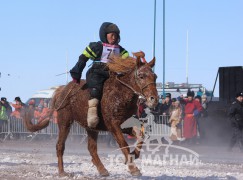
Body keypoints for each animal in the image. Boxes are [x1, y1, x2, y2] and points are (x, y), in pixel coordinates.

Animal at [23, 51, 159, 176]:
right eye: (141, 76)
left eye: (155, 76)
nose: (153, 99)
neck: (120, 94)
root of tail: (63, 90)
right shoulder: (113, 125)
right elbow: (123, 143)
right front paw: (133, 168)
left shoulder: (125, 125)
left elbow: (140, 135)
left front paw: (134, 154)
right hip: (64, 122)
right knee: (60, 145)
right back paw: (62, 172)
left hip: (91, 127)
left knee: (91, 148)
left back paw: (102, 169)